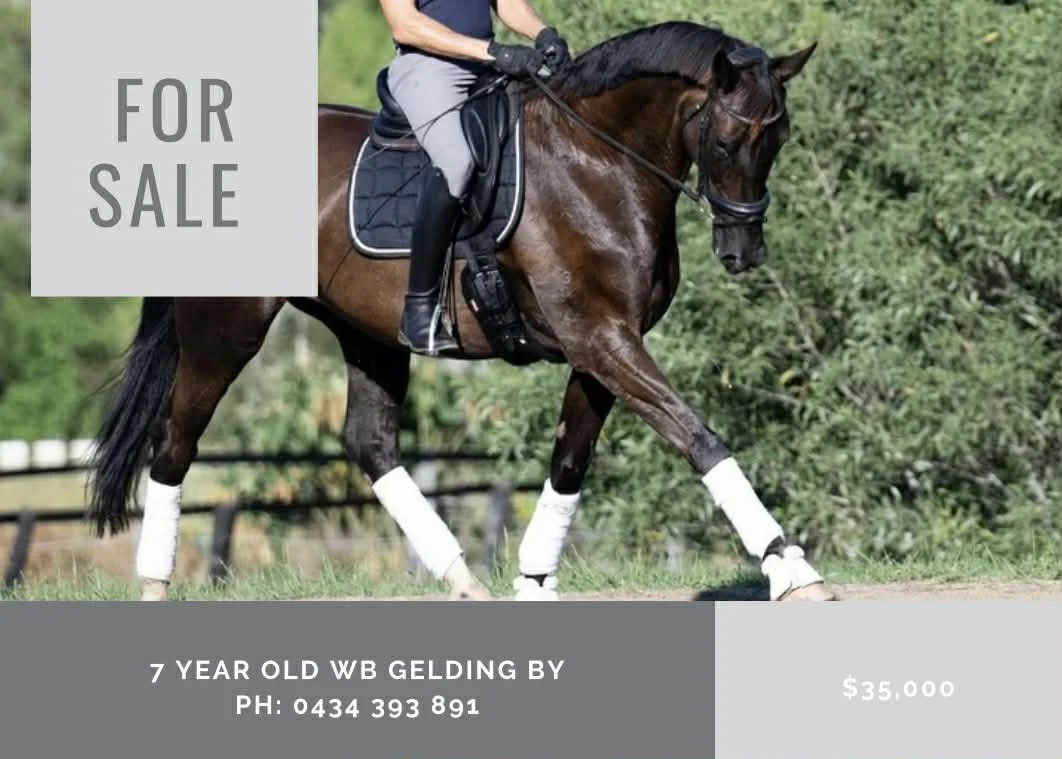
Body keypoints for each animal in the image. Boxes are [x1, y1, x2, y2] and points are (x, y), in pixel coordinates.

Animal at [87, 20, 835, 602]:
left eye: (780, 139)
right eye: (729, 140)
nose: (744, 251)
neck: (596, 161)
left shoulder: (601, 346)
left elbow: (570, 460)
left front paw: (534, 579)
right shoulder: (602, 339)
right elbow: (699, 437)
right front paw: (790, 569)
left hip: (368, 334)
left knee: (369, 443)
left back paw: (462, 578)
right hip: (228, 328)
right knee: (174, 442)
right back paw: (154, 583)